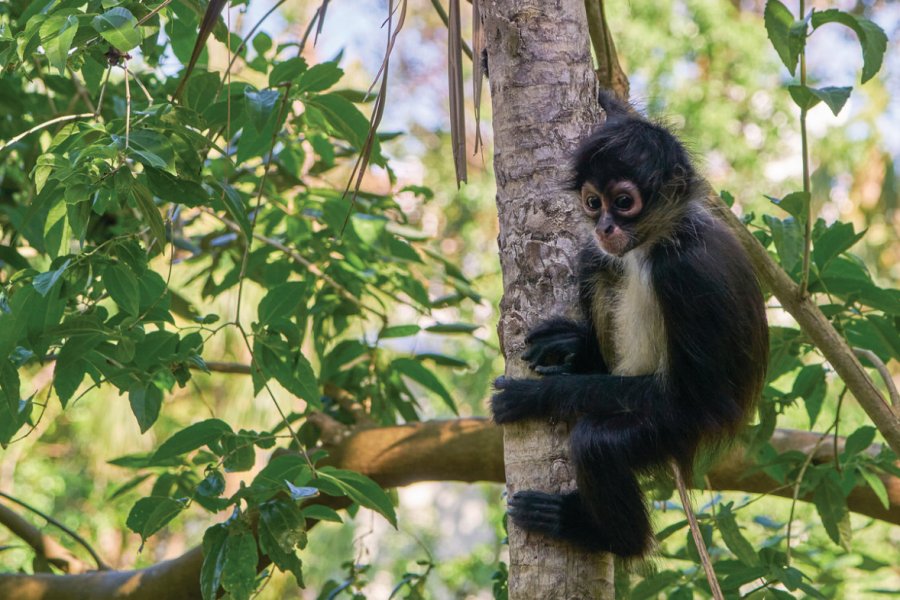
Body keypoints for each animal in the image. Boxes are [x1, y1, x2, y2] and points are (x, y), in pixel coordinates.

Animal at [488, 94, 768, 556]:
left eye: (623, 202)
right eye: (592, 202)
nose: (604, 226)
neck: (665, 238)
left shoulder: (682, 273)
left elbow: (701, 399)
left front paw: (541, 395)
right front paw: (570, 346)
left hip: (674, 431)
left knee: (597, 443)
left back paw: (606, 536)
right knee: (595, 260)